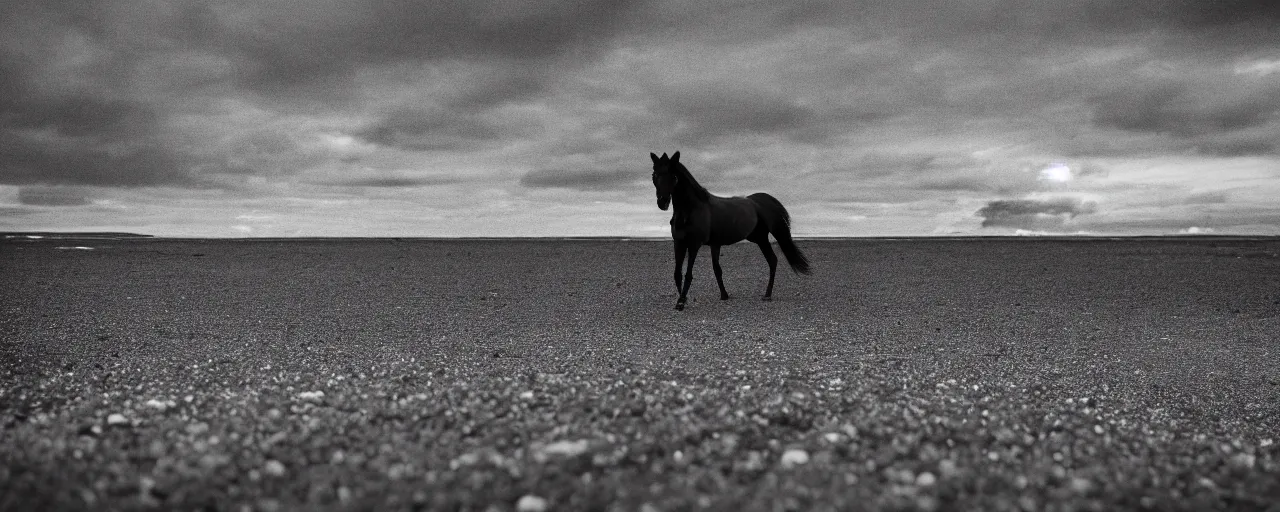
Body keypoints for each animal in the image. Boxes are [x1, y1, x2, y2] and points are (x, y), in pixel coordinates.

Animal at [650, 149, 808, 309]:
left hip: (765, 237)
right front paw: (716, 296)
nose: (663, 202)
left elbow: (689, 274)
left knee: (773, 260)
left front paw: (681, 301)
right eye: (654, 174)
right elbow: (681, 273)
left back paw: (768, 295)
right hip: (759, 238)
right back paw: (767, 294)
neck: (691, 210)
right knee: (772, 260)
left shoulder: (694, 244)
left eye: (673, 176)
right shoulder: (680, 243)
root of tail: (761, 200)